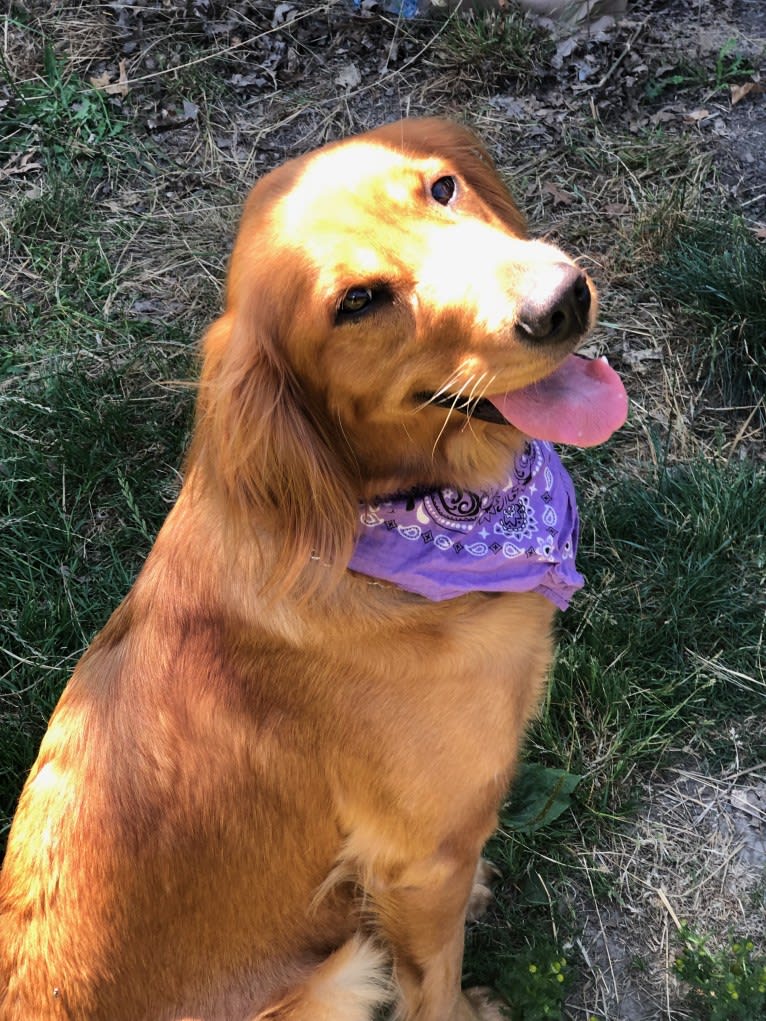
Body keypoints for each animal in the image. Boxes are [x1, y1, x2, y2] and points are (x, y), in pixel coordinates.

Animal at [0, 115, 625, 1016]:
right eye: (356, 302)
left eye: (442, 187)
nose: (561, 299)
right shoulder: (420, 859)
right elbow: (435, 980)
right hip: (336, 977)